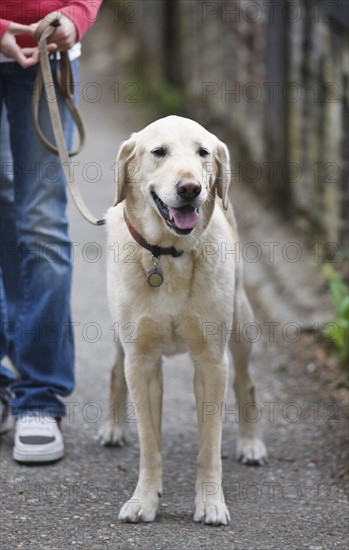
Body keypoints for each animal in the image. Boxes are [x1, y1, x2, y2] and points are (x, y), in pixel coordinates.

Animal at [98, 115, 266, 528]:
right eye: (159, 152)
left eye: (203, 152)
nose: (190, 188)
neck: (167, 255)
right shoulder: (140, 360)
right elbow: (150, 445)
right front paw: (144, 499)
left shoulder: (211, 361)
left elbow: (209, 445)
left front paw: (210, 502)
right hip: (118, 335)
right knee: (114, 370)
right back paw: (112, 427)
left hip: (241, 325)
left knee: (247, 382)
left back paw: (251, 443)